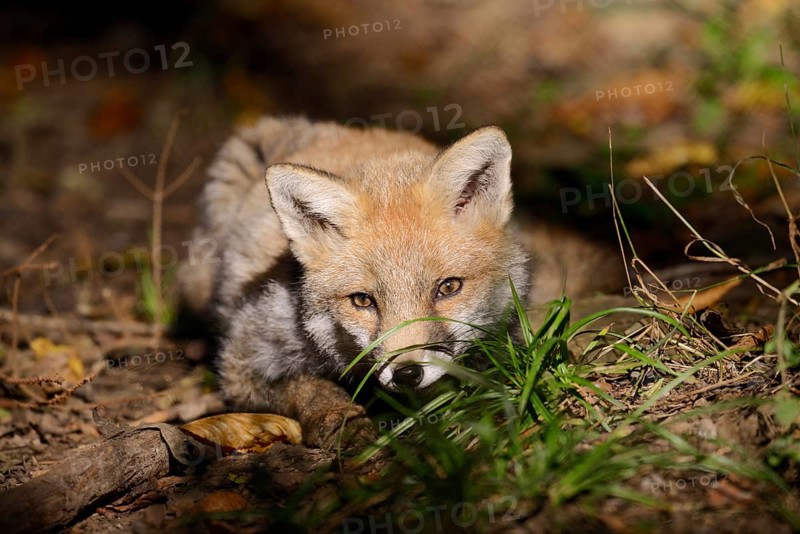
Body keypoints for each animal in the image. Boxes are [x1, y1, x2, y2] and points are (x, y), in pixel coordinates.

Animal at [179, 116, 620, 448]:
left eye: (448, 288)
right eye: (362, 300)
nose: (407, 373)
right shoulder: (243, 360)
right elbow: (307, 388)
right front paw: (339, 419)